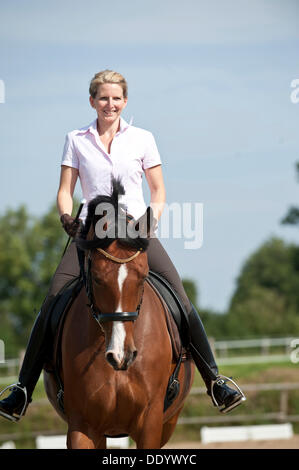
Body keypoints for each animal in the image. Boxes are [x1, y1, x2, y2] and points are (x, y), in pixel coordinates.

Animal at [44, 180, 195, 448]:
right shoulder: (82, 425)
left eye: (143, 276)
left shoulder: (150, 423)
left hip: (169, 422)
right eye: (96, 278)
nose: (122, 355)